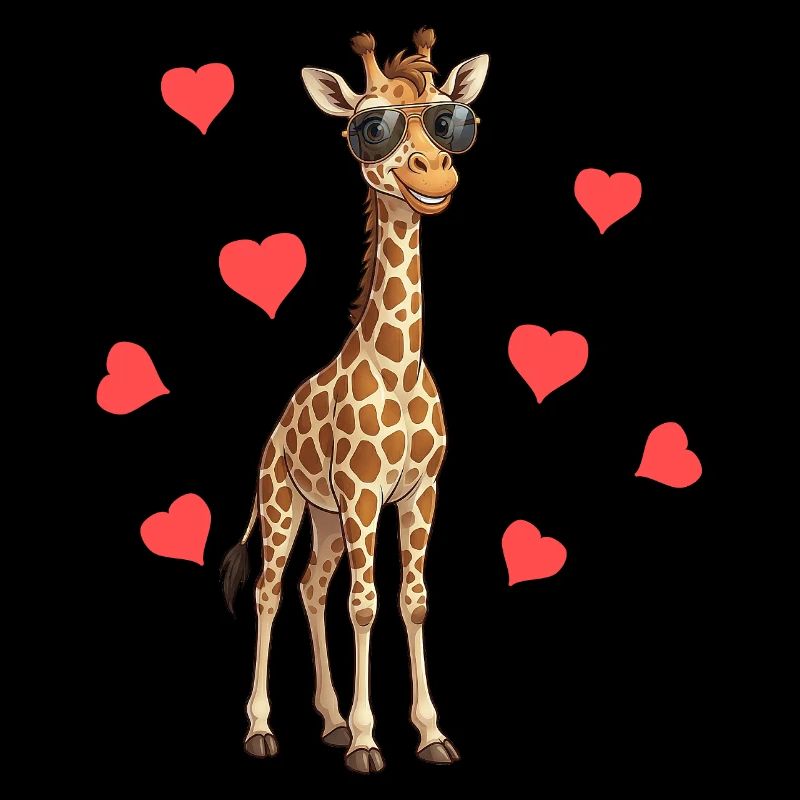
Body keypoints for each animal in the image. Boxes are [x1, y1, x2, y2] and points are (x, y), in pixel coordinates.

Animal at [221, 28, 488, 774]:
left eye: (452, 121)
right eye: (371, 128)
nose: (436, 176)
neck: (398, 366)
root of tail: (276, 426)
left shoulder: (421, 490)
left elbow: (413, 601)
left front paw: (430, 733)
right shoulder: (364, 492)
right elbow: (365, 605)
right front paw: (371, 742)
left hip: (326, 515)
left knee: (312, 586)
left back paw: (332, 720)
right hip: (285, 501)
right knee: (272, 589)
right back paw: (263, 729)